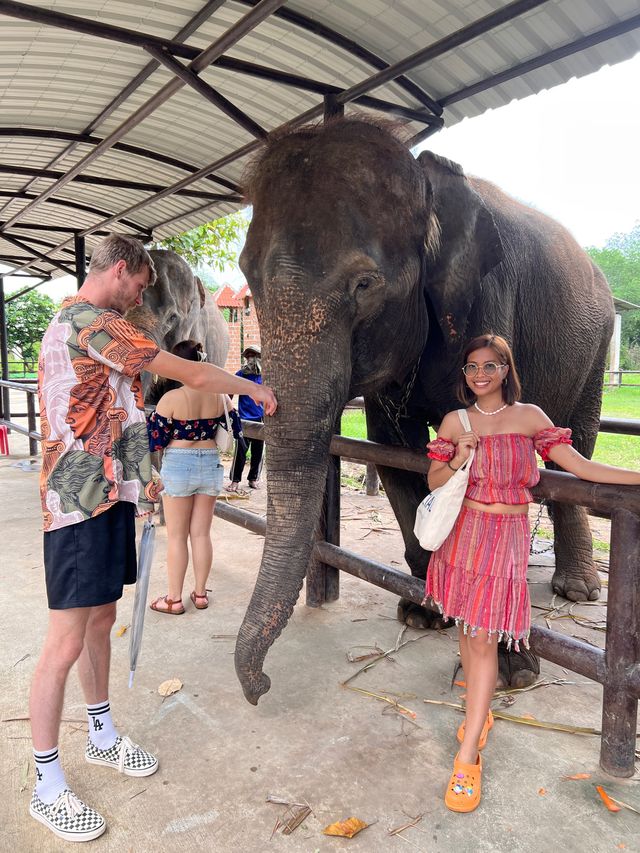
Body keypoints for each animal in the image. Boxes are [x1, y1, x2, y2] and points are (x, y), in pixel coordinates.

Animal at [232, 120, 612, 704]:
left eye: (364, 284)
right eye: (247, 276)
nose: (261, 688)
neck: (426, 181)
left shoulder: (491, 299)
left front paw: (510, 670)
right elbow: (397, 456)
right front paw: (423, 612)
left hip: (598, 344)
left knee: (577, 447)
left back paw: (578, 590)